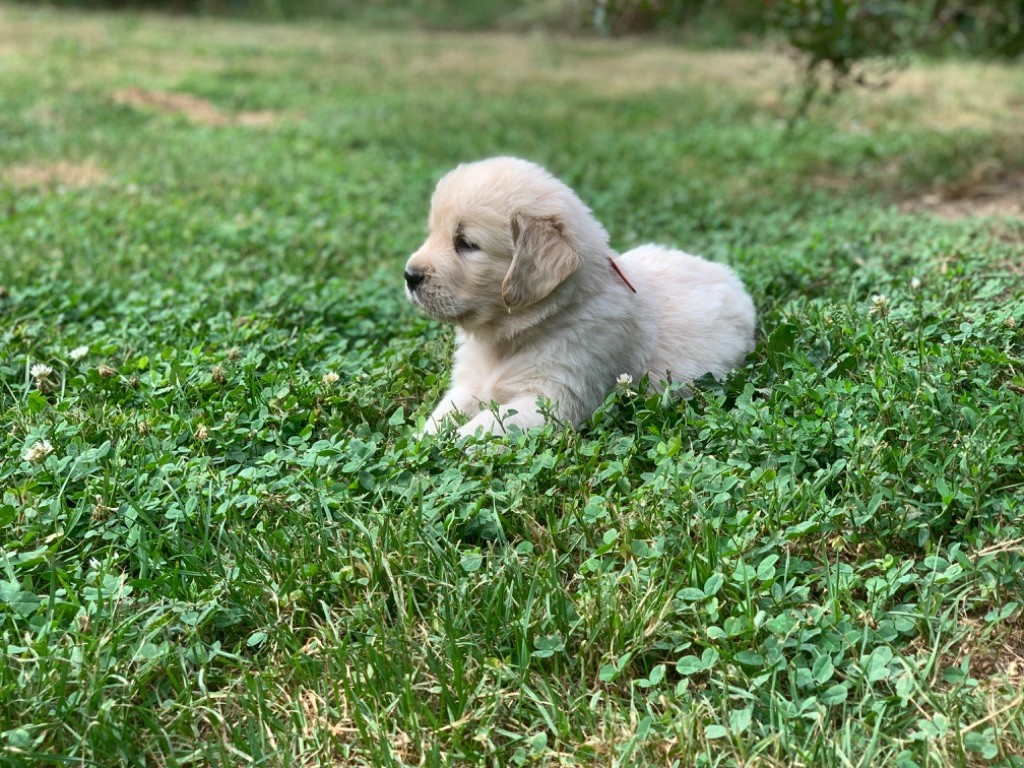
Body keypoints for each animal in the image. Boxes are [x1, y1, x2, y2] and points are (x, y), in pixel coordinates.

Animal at [403, 156, 757, 438]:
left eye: (466, 243)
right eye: (433, 232)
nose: (409, 275)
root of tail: (724, 271)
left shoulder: (553, 398)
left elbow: (481, 428)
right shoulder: (469, 385)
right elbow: (443, 415)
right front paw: (421, 440)